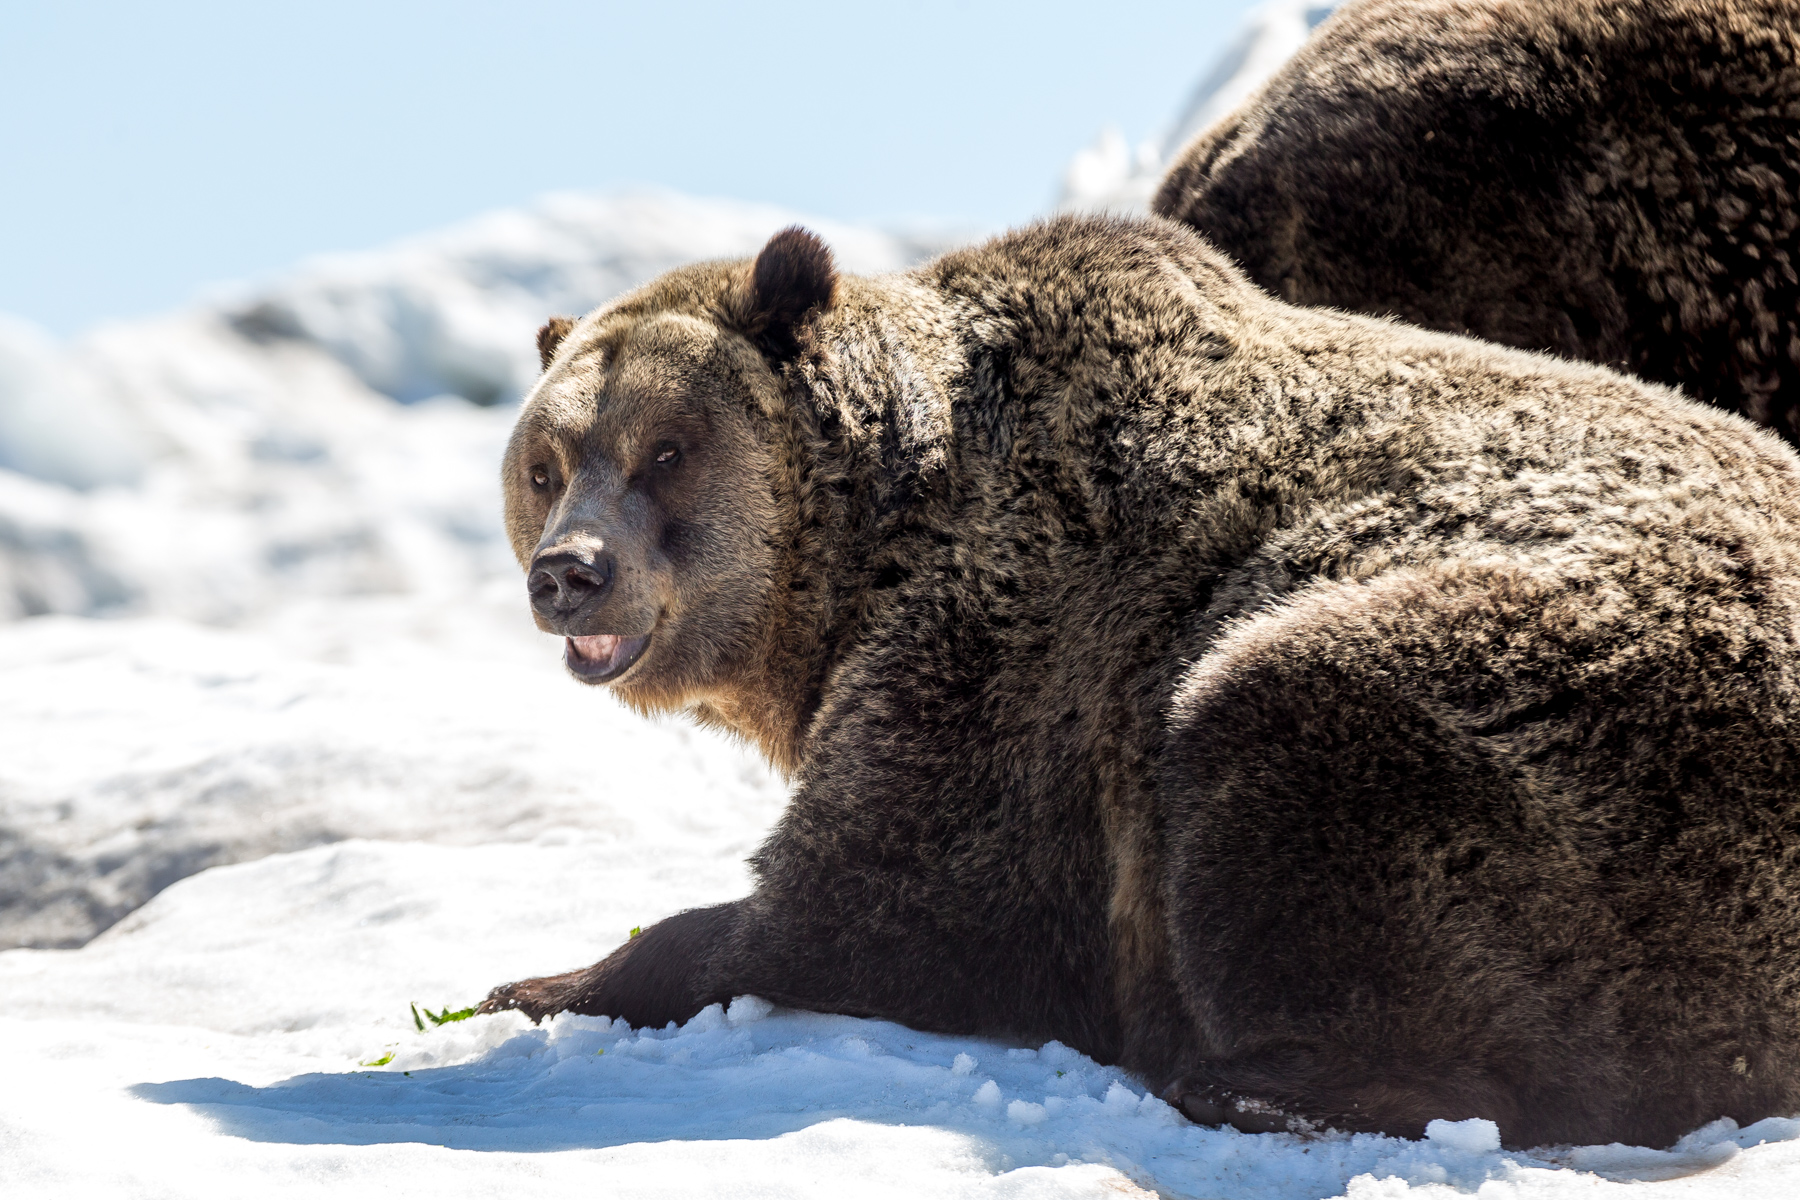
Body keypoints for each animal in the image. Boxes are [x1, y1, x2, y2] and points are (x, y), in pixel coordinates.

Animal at [481, 213, 1800, 1150]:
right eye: (546, 464)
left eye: (665, 451)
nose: (571, 575)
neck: (859, 563)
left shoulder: (1003, 657)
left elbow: (867, 906)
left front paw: (534, 982)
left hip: (1593, 732)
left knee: (1274, 731)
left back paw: (1233, 1078)